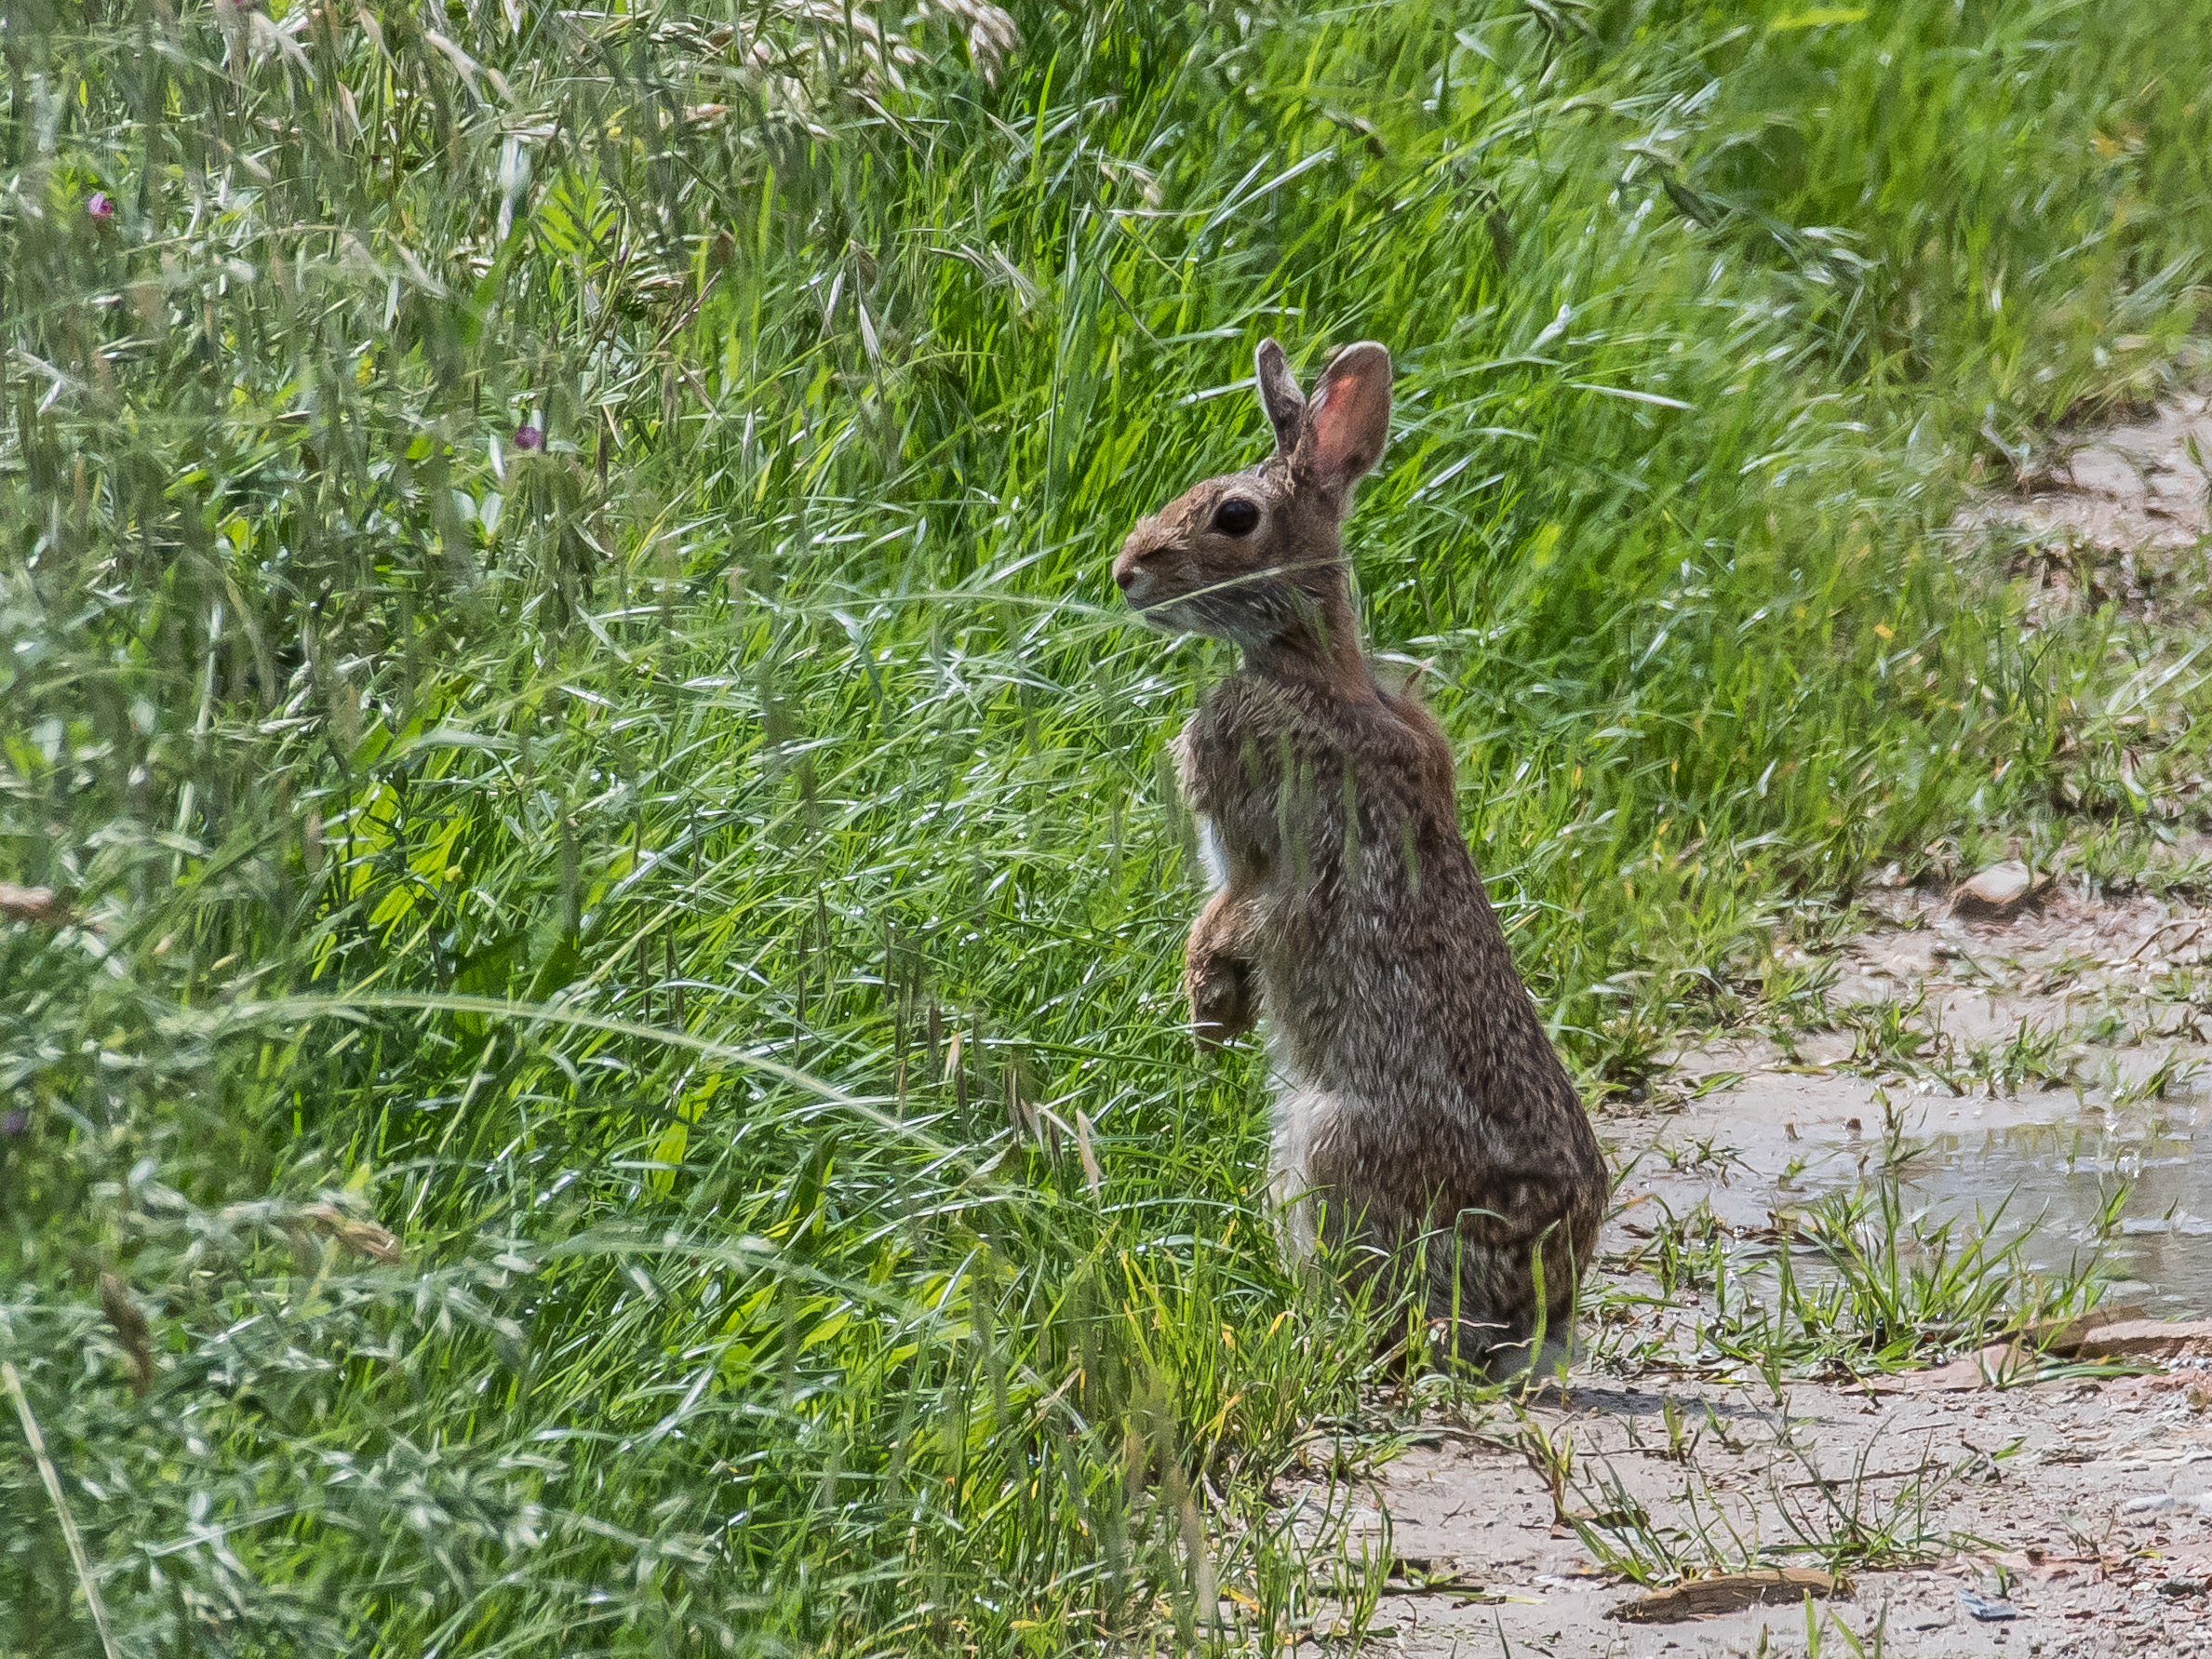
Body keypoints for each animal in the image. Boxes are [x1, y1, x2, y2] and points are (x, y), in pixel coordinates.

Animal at [1111, 338, 1608, 1371]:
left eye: (1234, 516)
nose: (1126, 571)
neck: (1304, 663)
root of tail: (1537, 1303)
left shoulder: (1262, 855)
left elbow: (1233, 916)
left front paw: (1205, 1017)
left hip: (1326, 1143)